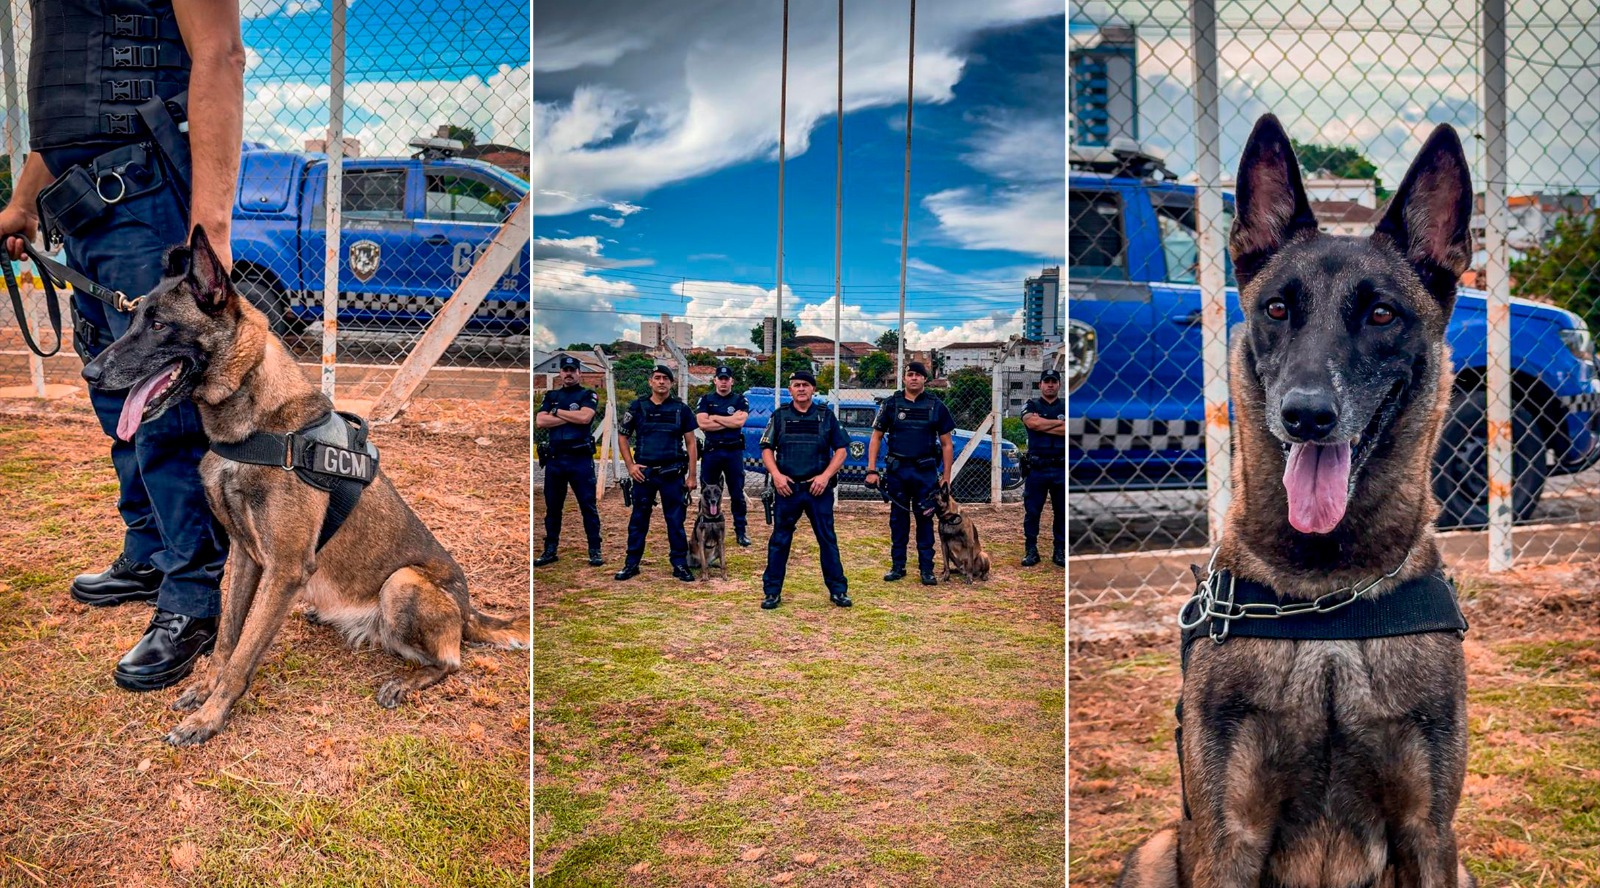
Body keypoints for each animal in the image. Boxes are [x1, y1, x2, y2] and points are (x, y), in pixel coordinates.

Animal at [81, 225, 528, 745]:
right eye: (134, 320)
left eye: (157, 325)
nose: (89, 372)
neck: (256, 424)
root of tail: (469, 610)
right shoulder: (247, 556)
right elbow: (228, 638)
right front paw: (205, 691)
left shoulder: (286, 569)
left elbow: (243, 654)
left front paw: (209, 717)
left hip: (402, 583)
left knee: (451, 661)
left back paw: (406, 680)